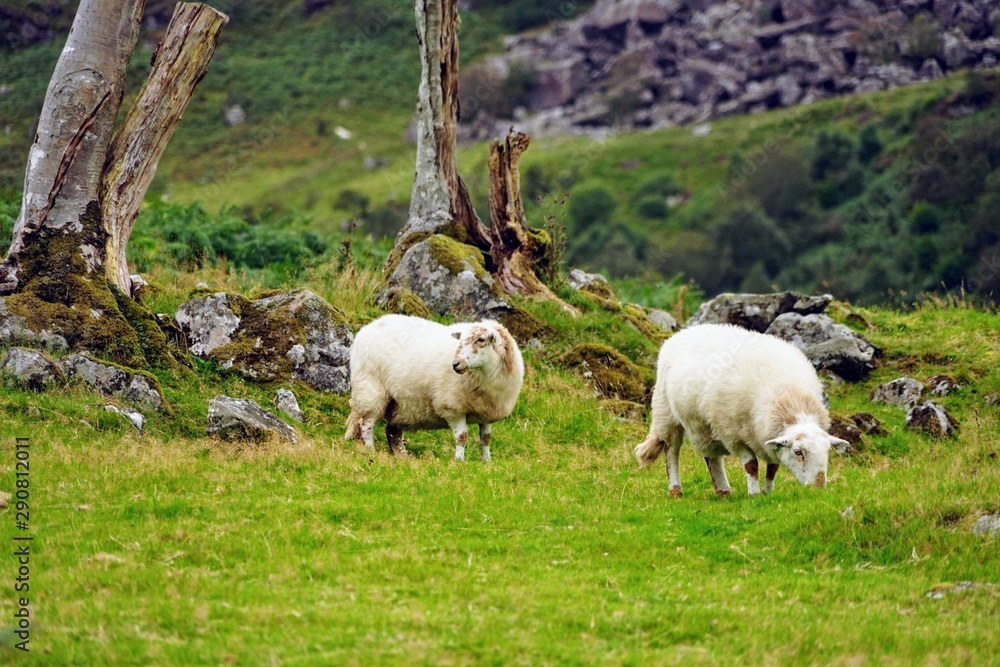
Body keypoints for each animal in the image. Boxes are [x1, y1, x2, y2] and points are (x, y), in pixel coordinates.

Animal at [345, 314, 524, 461]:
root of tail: (368, 327)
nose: (455, 364)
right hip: (371, 389)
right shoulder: (453, 408)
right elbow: (462, 437)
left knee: (392, 431)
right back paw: (371, 451)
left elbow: (485, 439)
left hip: (401, 404)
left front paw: (486, 461)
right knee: (366, 423)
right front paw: (459, 461)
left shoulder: (487, 413)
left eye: (481, 339)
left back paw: (403, 457)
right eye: (460, 341)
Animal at [634, 323, 847, 497]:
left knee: (712, 457)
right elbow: (751, 464)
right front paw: (754, 494)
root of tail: (686, 331)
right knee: (671, 451)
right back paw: (676, 490)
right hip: (666, 411)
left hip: (706, 424)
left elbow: (773, 468)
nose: (818, 487)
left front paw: (768, 492)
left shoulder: (768, 437)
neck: (790, 399)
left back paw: (723, 490)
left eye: (827, 451)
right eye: (798, 452)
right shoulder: (734, 435)